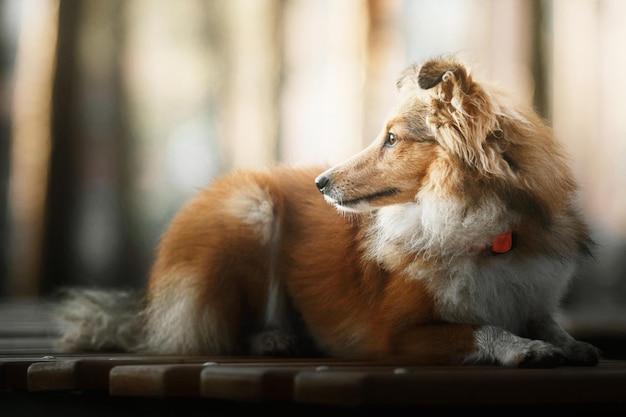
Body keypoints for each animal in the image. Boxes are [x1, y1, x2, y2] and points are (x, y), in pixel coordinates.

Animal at [53, 57, 600, 366]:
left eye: (392, 138)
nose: (320, 184)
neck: (488, 232)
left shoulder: (531, 296)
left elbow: (546, 322)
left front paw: (570, 345)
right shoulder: (396, 333)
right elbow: (483, 328)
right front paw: (524, 349)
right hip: (252, 211)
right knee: (222, 330)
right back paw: (274, 340)